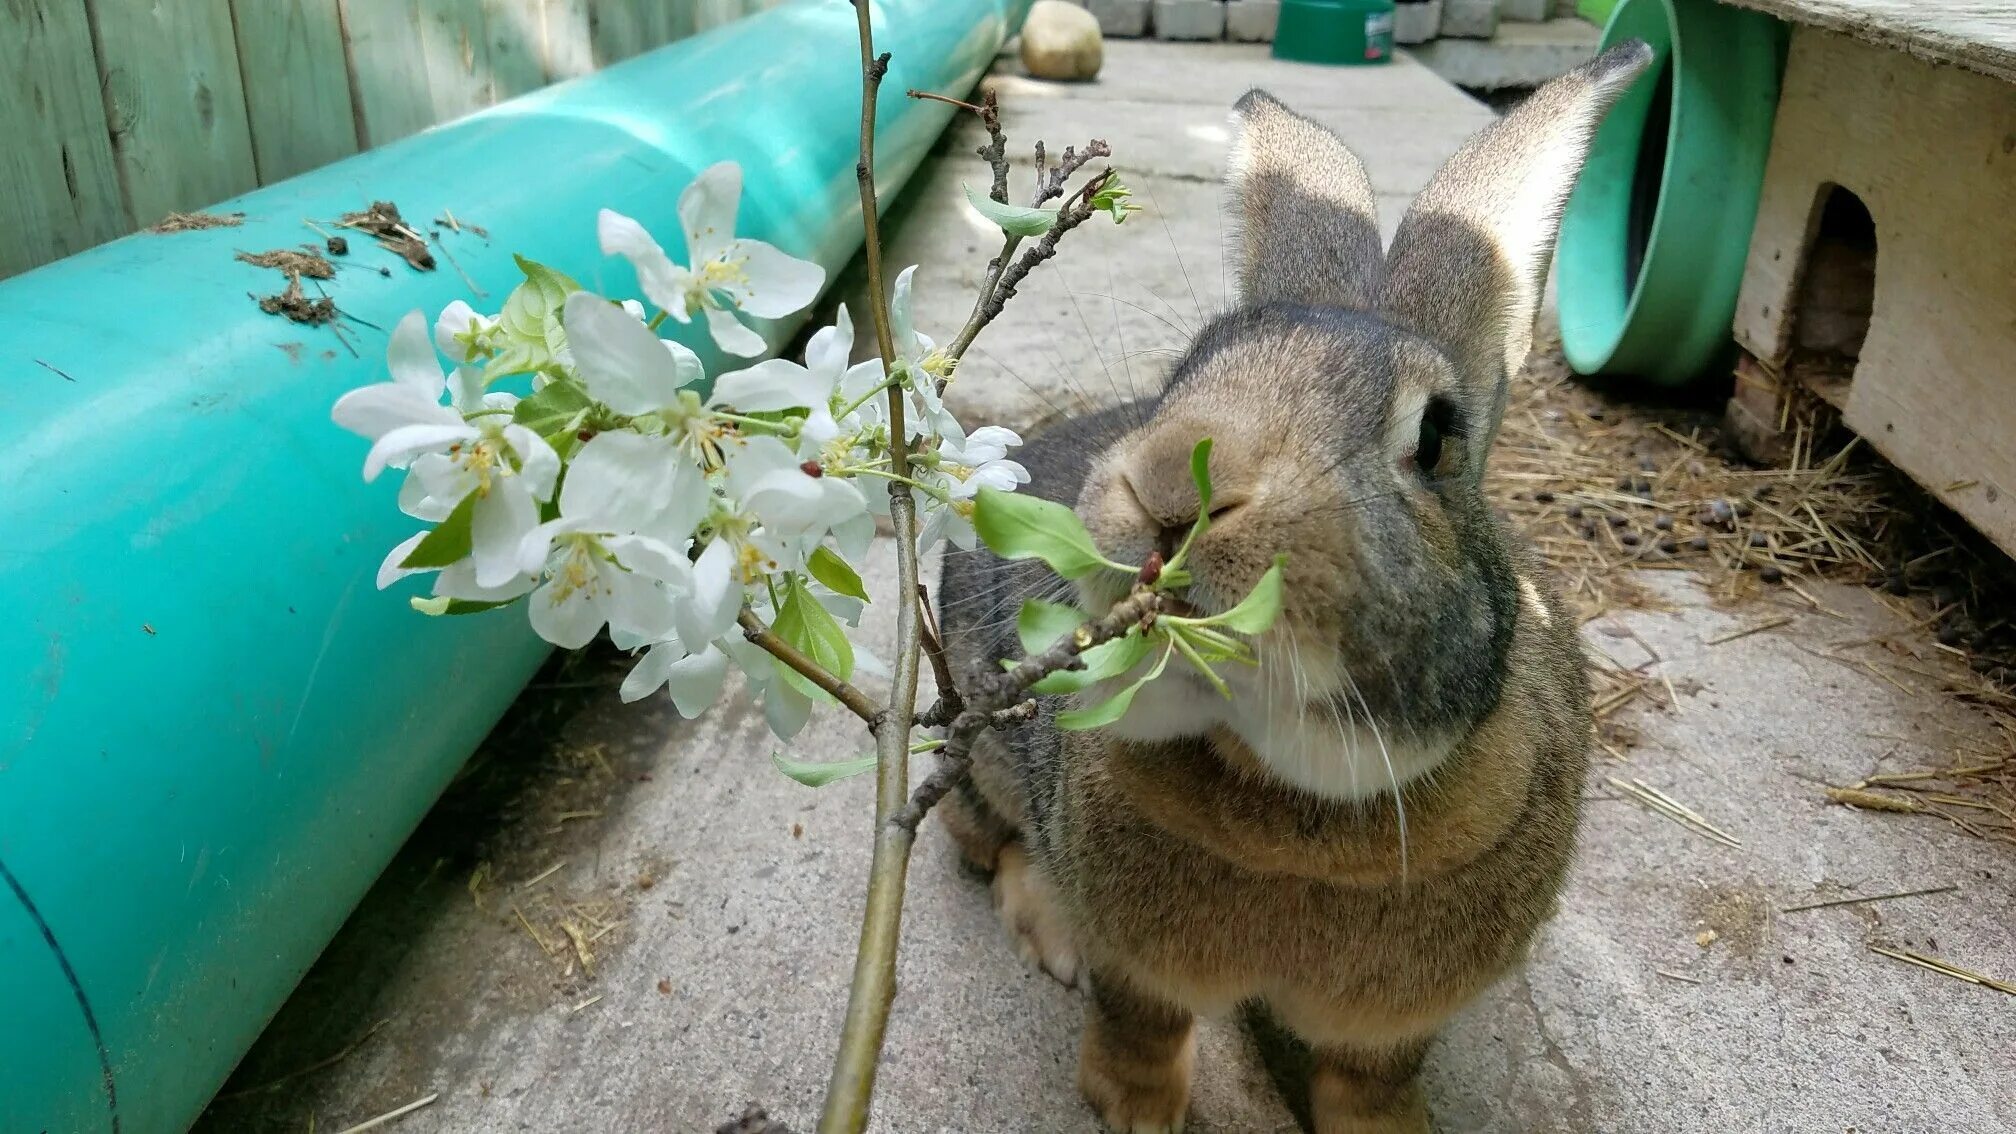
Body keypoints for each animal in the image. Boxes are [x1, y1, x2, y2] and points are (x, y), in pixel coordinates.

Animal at [935, 41, 1645, 1129]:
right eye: (1187, 368)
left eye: (1435, 438)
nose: (1172, 486)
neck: (1294, 806)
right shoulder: (1138, 962)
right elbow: (1140, 1021)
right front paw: (1133, 1109)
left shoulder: (1398, 1019)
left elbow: (1373, 1075)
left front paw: (1393, 1130)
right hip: (978, 741)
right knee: (991, 840)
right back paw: (1049, 932)